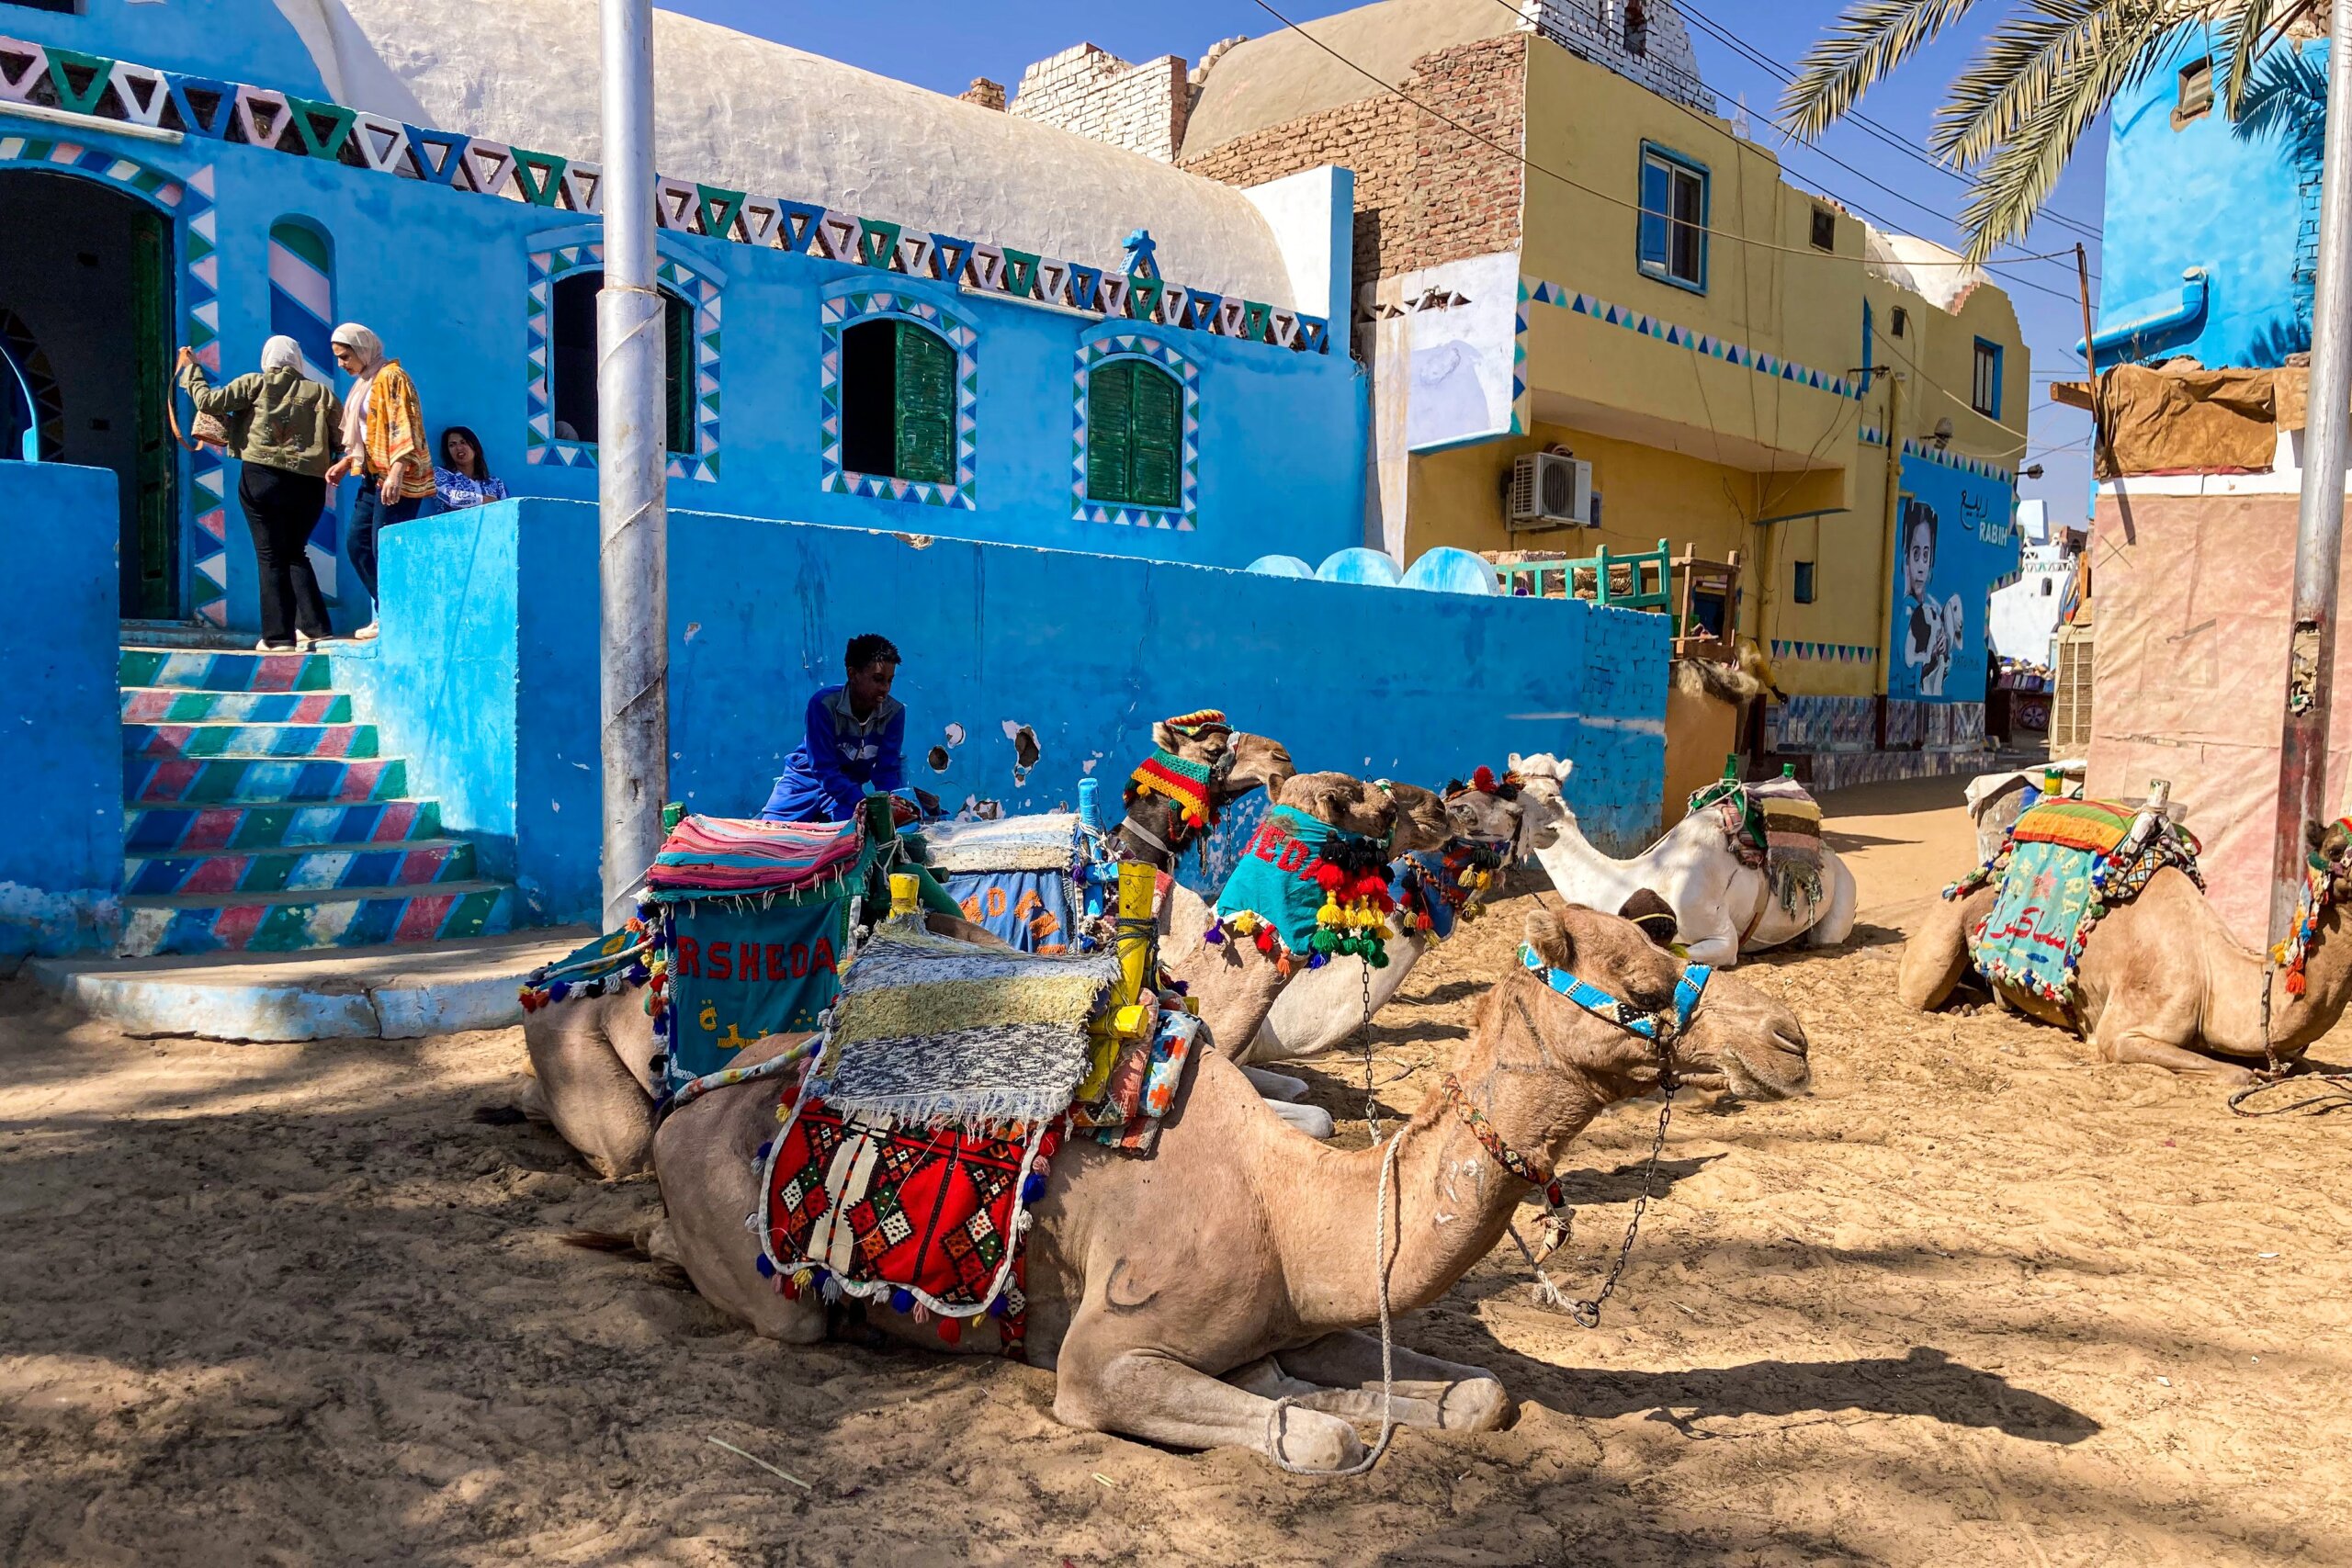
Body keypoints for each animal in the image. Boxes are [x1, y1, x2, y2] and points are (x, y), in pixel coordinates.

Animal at [653, 902, 1806, 1466]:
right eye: (1647, 988)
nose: (1790, 1042)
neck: (1293, 1209)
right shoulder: (1099, 1362)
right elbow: (1319, 1433)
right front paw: (1315, 1410)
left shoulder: (1319, 1313)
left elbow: (1477, 1394)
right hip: (763, 1263)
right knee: (784, 1310)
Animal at [1891, 818, 2352, 1086]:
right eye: (2335, 849)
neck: (2216, 974)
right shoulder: (2124, 1031)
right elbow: (2239, 1076)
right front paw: (2252, 1074)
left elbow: (2300, 1064)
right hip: (1950, 916)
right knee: (1919, 986)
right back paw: (1955, 1004)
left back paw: (1969, 1003)